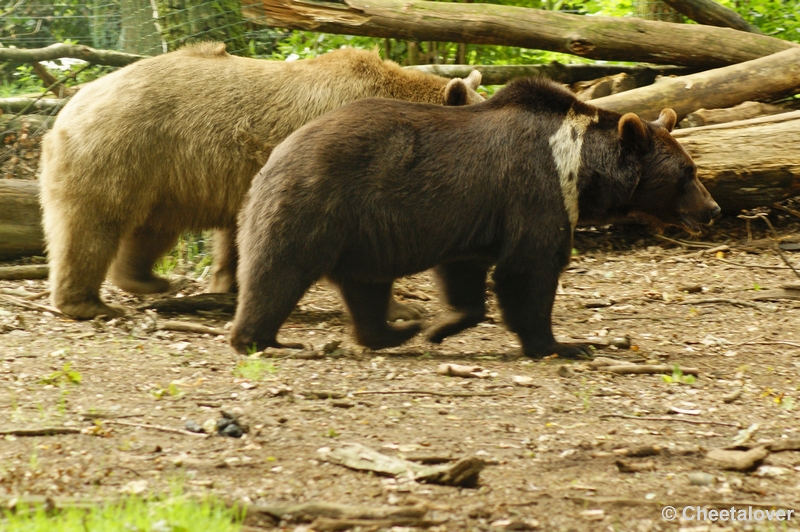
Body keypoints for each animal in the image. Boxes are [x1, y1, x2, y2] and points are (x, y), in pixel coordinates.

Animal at [39, 41, 482, 320]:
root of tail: (67, 108)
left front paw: (229, 286)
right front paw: (405, 307)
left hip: (163, 178)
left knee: (148, 231)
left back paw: (150, 281)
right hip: (120, 150)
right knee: (93, 226)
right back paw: (89, 303)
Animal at [230, 78, 720, 358]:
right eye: (688, 172)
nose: (712, 209)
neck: (581, 169)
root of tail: (275, 153)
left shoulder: (471, 216)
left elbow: (464, 272)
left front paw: (438, 326)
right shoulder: (537, 191)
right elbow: (529, 269)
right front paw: (563, 344)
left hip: (362, 231)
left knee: (364, 285)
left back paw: (395, 331)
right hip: (318, 202)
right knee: (278, 270)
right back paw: (260, 338)